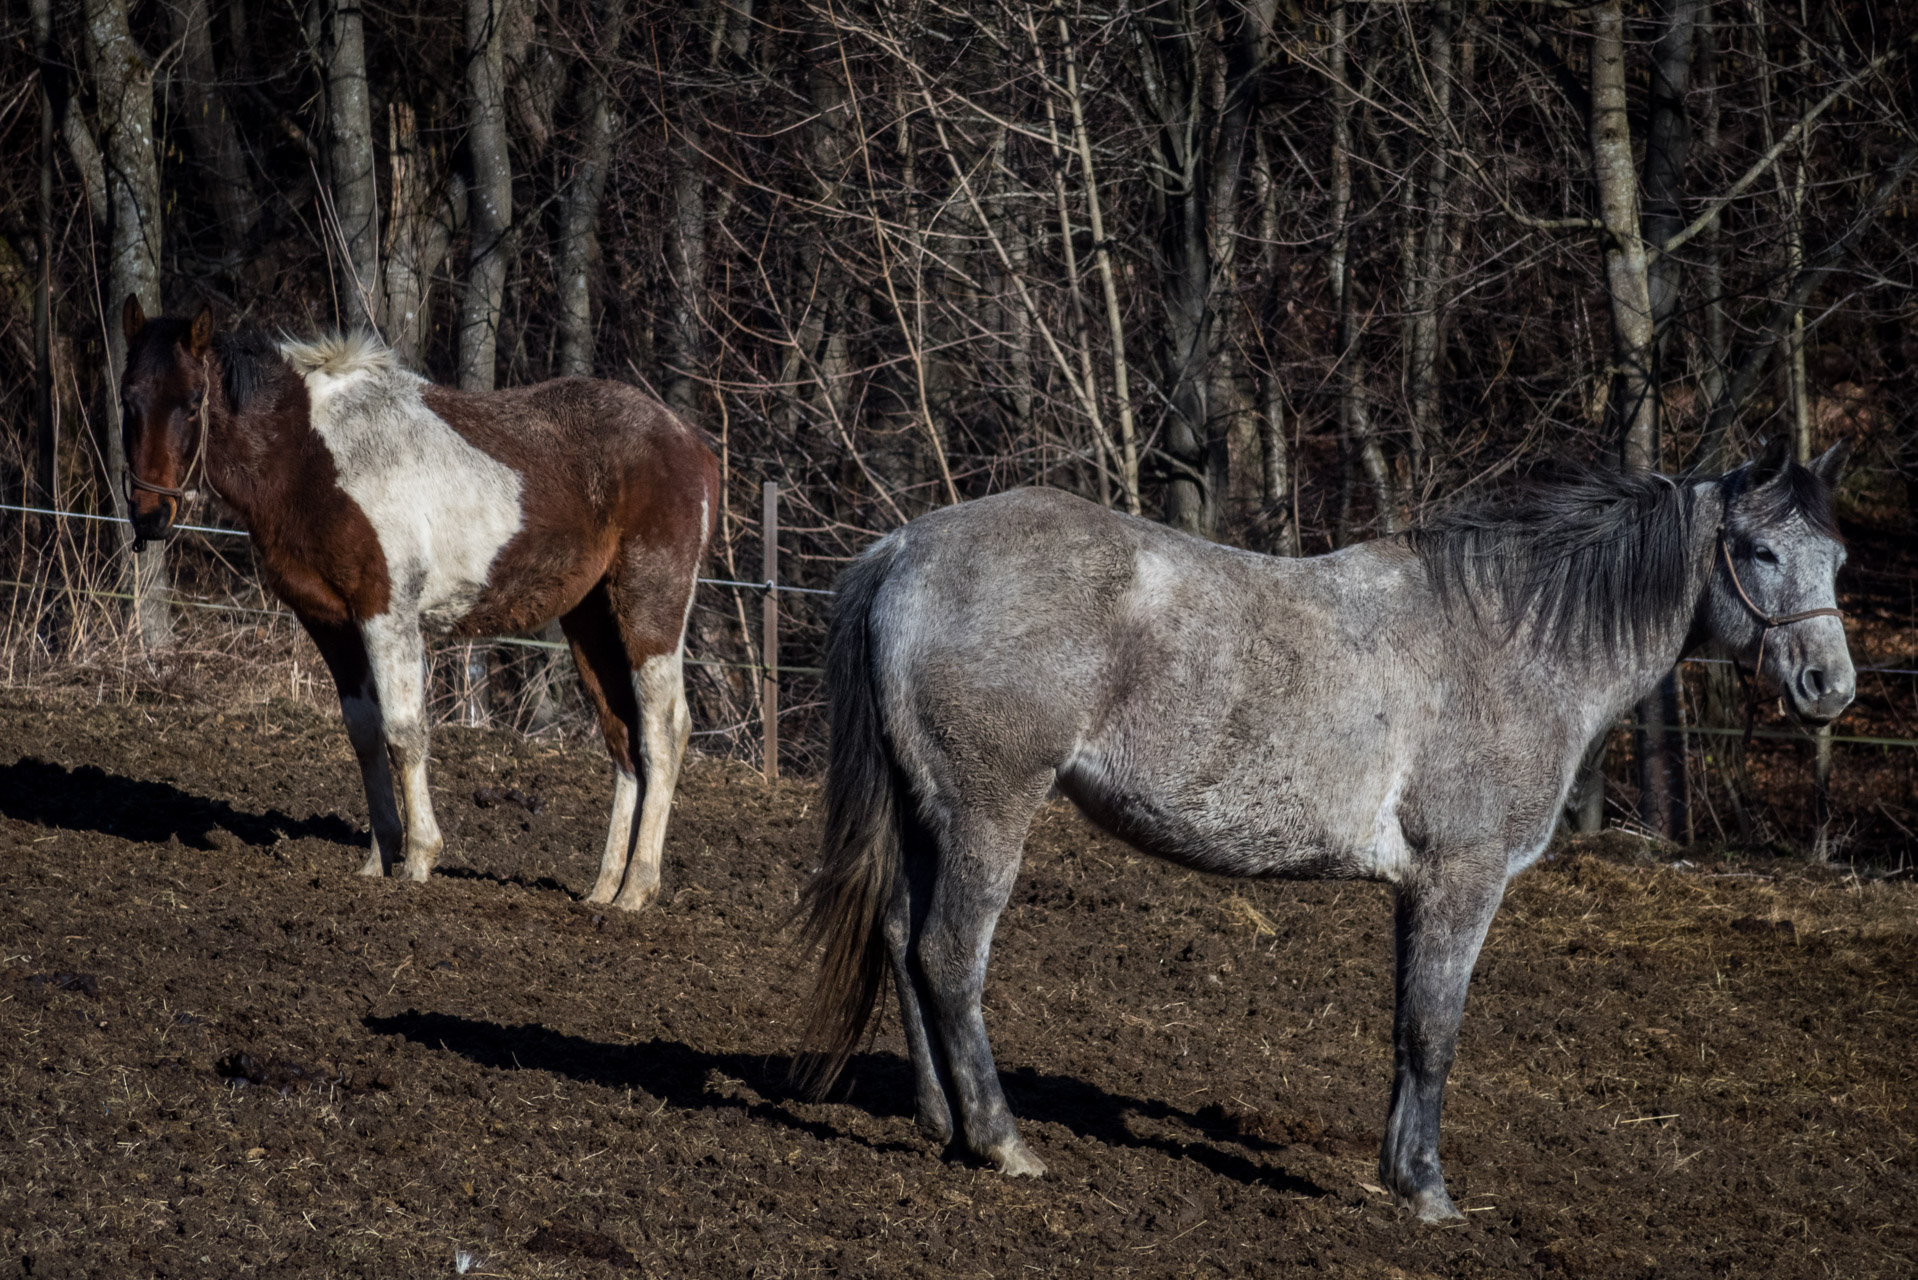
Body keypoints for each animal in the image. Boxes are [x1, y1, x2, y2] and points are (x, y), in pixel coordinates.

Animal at [119, 297, 721, 909]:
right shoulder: (330, 624)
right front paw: (379, 859)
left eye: (194, 402)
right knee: (622, 739)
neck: (312, 454)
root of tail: (689, 440)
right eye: (128, 399)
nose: (150, 516)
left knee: (664, 730)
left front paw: (417, 861)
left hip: (649, 608)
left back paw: (637, 890)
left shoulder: (387, 613)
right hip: (591, 619)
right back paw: (603, 891)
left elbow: (404, 733)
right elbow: (365, 735)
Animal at [790, 441, 1841, 1220]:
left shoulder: (1420, 890)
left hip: (927, 813)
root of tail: (903, 549)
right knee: (948, 956)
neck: (1507, 647)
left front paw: (1397, 1175)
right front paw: (1429, 1195)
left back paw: (942, 1124)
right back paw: (1004, 1143)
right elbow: (1434, 1031)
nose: (1832, 685)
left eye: (1836, 560)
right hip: (987, 813)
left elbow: (1406, 1029)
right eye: (1759, 551)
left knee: (902, 941)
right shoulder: (1463, 878)